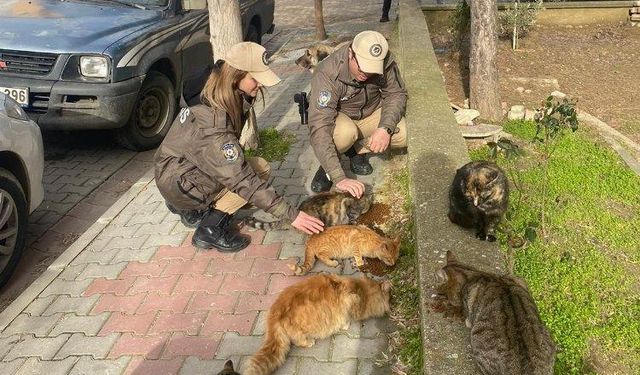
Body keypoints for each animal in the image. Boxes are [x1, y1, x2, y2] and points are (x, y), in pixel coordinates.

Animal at [242, 274, 390, 375]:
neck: (361, 290)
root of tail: (275, 312)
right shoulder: (348, 305)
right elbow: (344, 319)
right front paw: (346, 325)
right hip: (300, 331)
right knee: (298, 341)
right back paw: (309, 342)